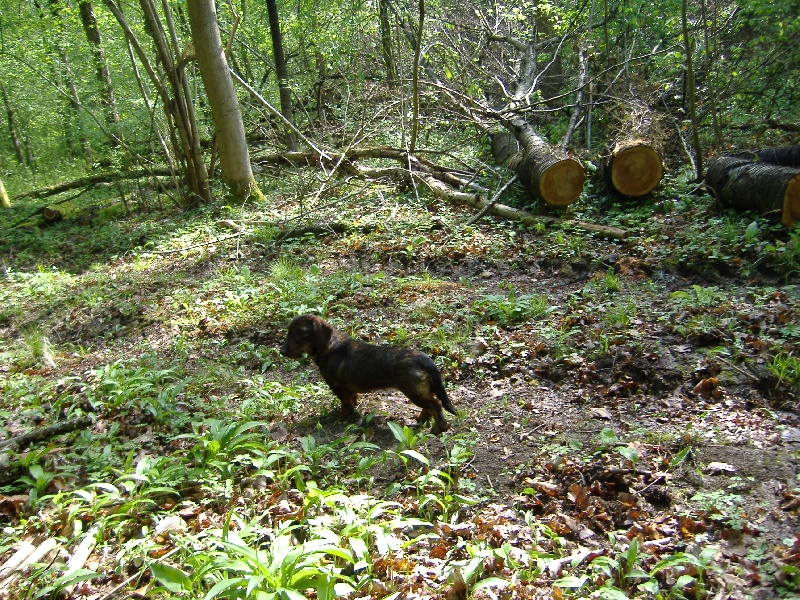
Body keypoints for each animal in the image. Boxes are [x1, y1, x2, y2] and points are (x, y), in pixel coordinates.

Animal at [282, 314, 456, 432]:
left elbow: (346, 403)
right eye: (289, 331)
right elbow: (352, 399)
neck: (329, 345)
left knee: (436, 404)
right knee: (431, 406)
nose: (282, 351)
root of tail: (422, 358)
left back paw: (439, 428)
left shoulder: (336, 386)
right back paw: (421, 419)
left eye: (301, 331)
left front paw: (343, 414)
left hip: (414, 392)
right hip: (424, 391)